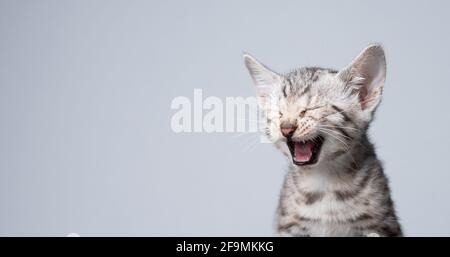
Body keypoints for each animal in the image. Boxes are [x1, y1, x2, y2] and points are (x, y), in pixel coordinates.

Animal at [244, 44, 402, 236]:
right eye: (278, 112)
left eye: (311, 108)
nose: (286, 128)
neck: (324, 181)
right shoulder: (290, 226)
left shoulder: (381, 224)